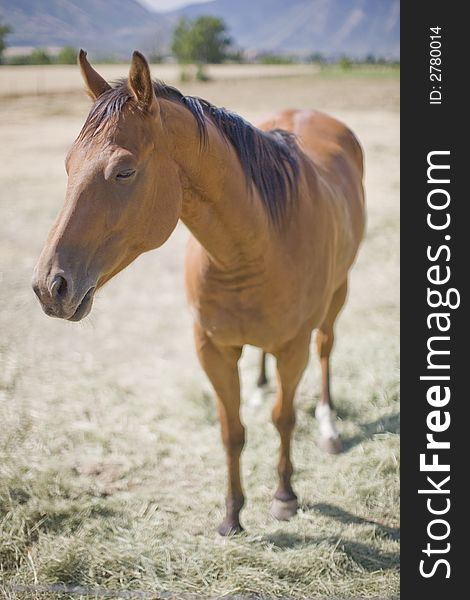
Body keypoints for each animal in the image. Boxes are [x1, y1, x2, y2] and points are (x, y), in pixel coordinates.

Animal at [32, 51, 368, 536]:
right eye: (68, 165)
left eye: (124, 171)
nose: (49, 286)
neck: (256, 246)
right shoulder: (211, 348)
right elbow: (232, 431)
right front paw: (231, 514)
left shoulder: (292, 348)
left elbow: (283, 418)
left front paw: (284, 497)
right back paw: (260, 388)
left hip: (337, 294)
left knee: (326, 349)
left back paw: (328, 428)